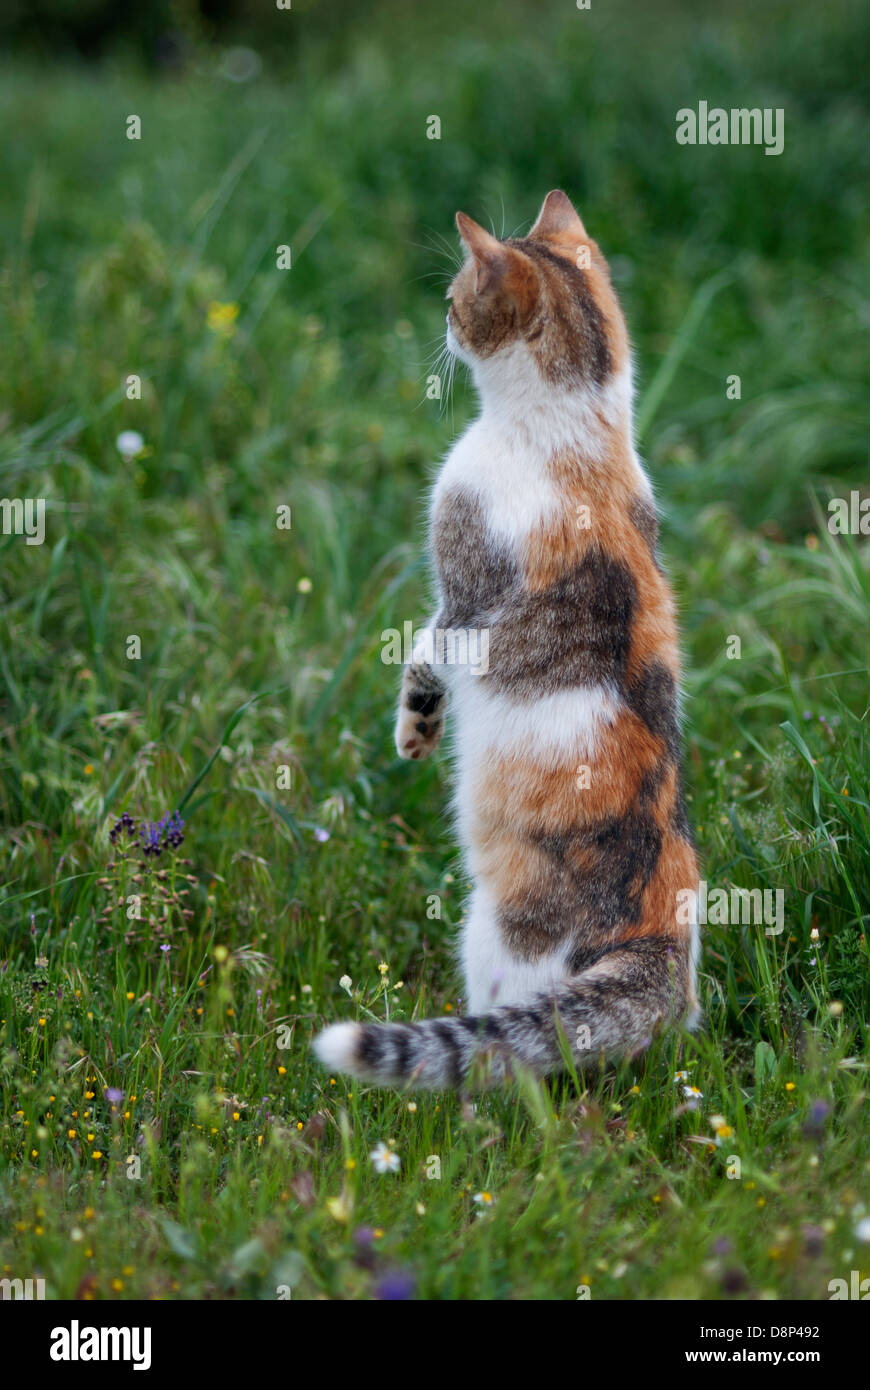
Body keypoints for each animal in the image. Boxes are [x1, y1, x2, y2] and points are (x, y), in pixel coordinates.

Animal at [311, 190, 697, 1089]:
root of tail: (659, 942)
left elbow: (423, 653)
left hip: (496, 940)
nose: (443, 324)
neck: (578, 428)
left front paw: (416, 730)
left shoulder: (461, 599)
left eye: (456, 296)